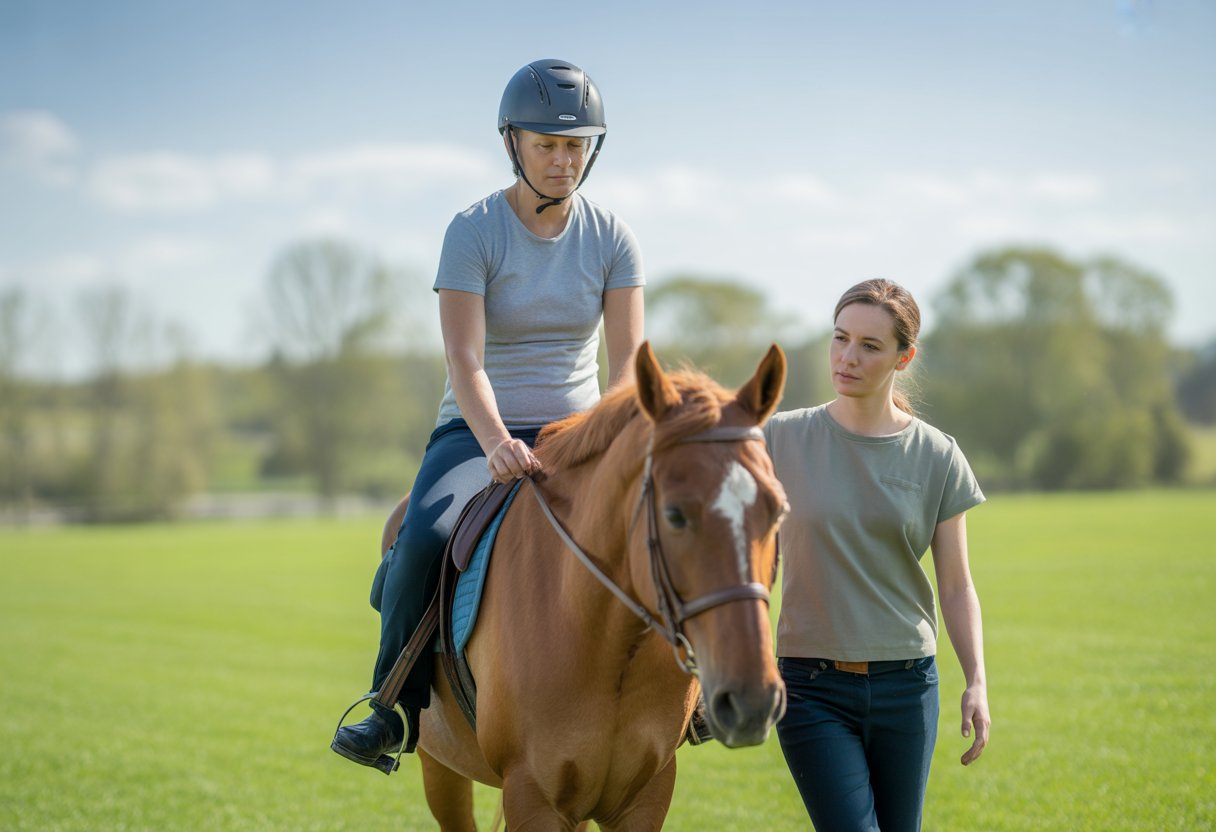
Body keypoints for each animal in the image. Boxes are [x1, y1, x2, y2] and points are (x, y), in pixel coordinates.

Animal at [387, 342, 788, 831]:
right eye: (674, 514)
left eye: (777, 510)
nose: (753, 701)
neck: (608, 643)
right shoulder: (532, 796)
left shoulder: (644, 797)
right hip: (441, 767)